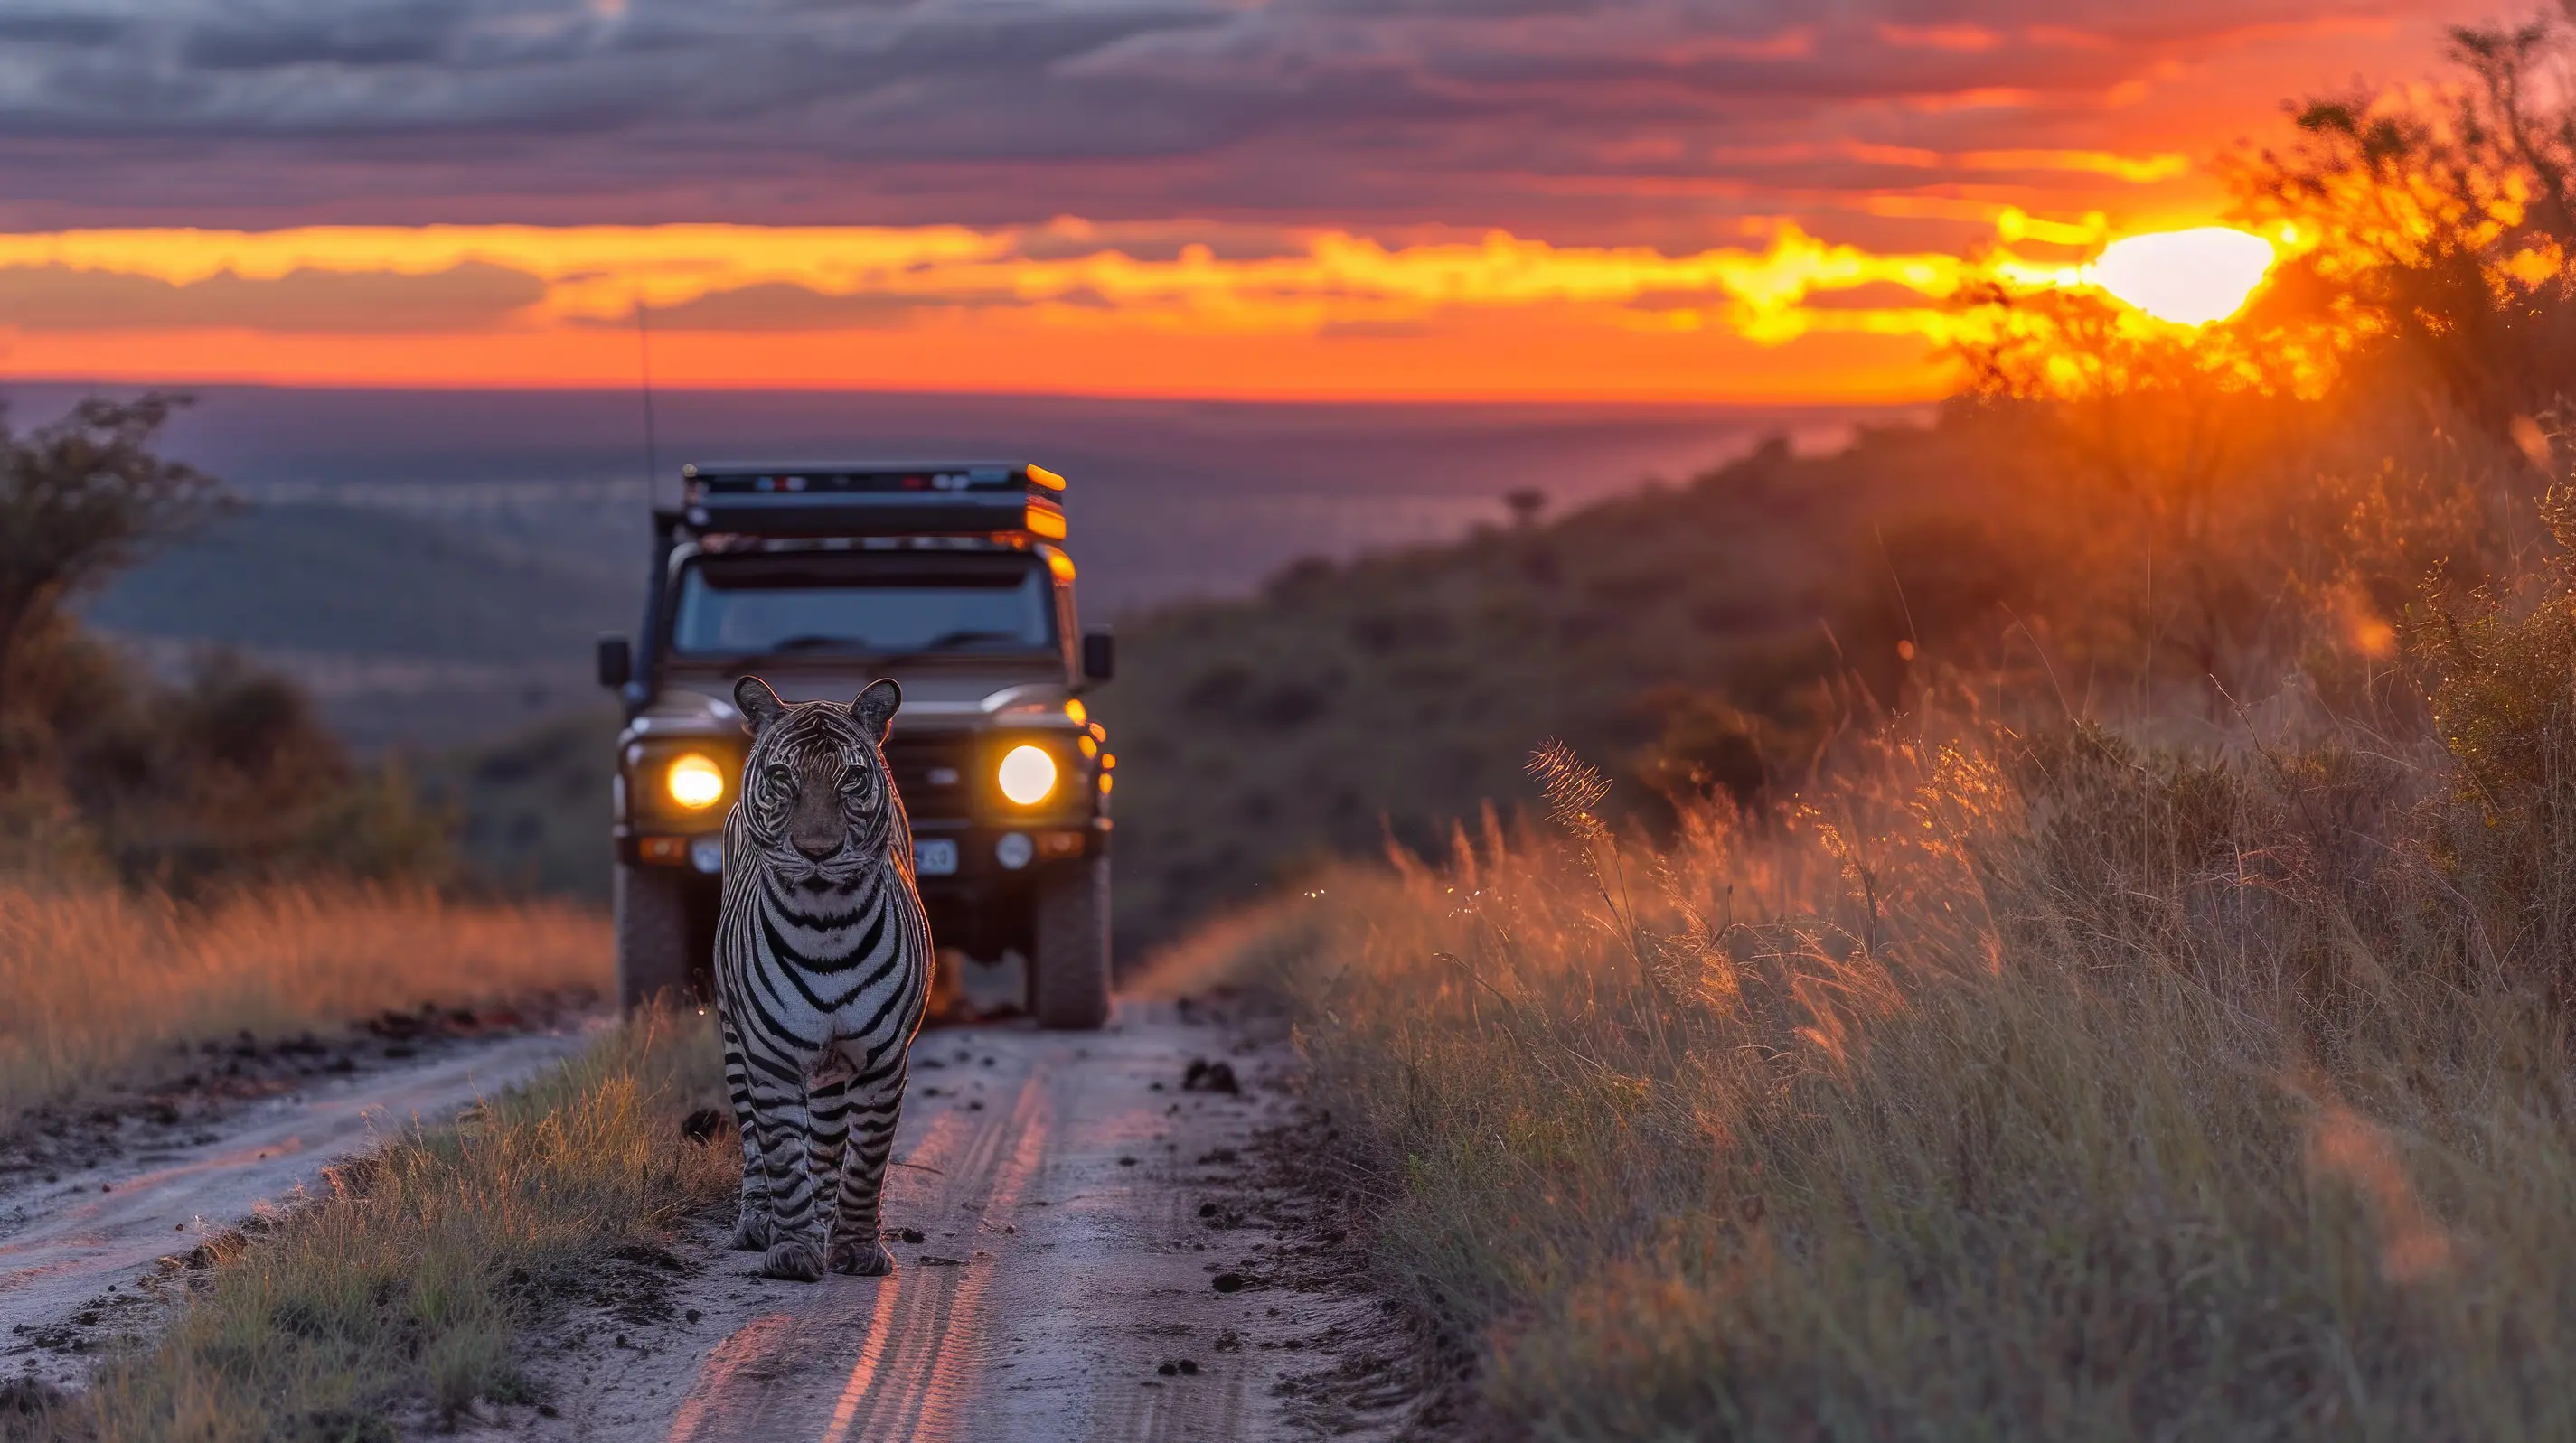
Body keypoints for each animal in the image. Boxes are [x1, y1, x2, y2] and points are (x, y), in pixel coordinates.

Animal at [715, 675, 933, 1282]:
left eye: (851, 778)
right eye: (783, 777)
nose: (817, 852)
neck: (825, 924)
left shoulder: (883, 1062)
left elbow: (866, 1161)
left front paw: (856, 1247)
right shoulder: (770, 1062)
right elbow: (783, 1158)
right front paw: (791, 1249)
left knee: (831, 1140)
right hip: (734, 1042)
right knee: (753, 1143)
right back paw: (759, 1223)